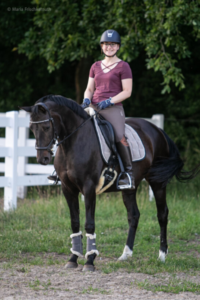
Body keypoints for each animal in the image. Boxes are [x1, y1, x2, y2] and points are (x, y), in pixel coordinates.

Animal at [21, 95, 199, 272]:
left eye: (46, 127)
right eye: (31, 128)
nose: (42, 158)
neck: (74, 142)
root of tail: (158, 130)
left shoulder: (89, 188)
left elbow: (89, 224)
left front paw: (90, 261)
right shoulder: (68, 188)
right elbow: (74, 223)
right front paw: (73, 258)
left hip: (157, 182)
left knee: (162, 214)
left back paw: (161, 255)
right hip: (129, 188)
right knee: (134, 216)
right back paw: (126, 254)